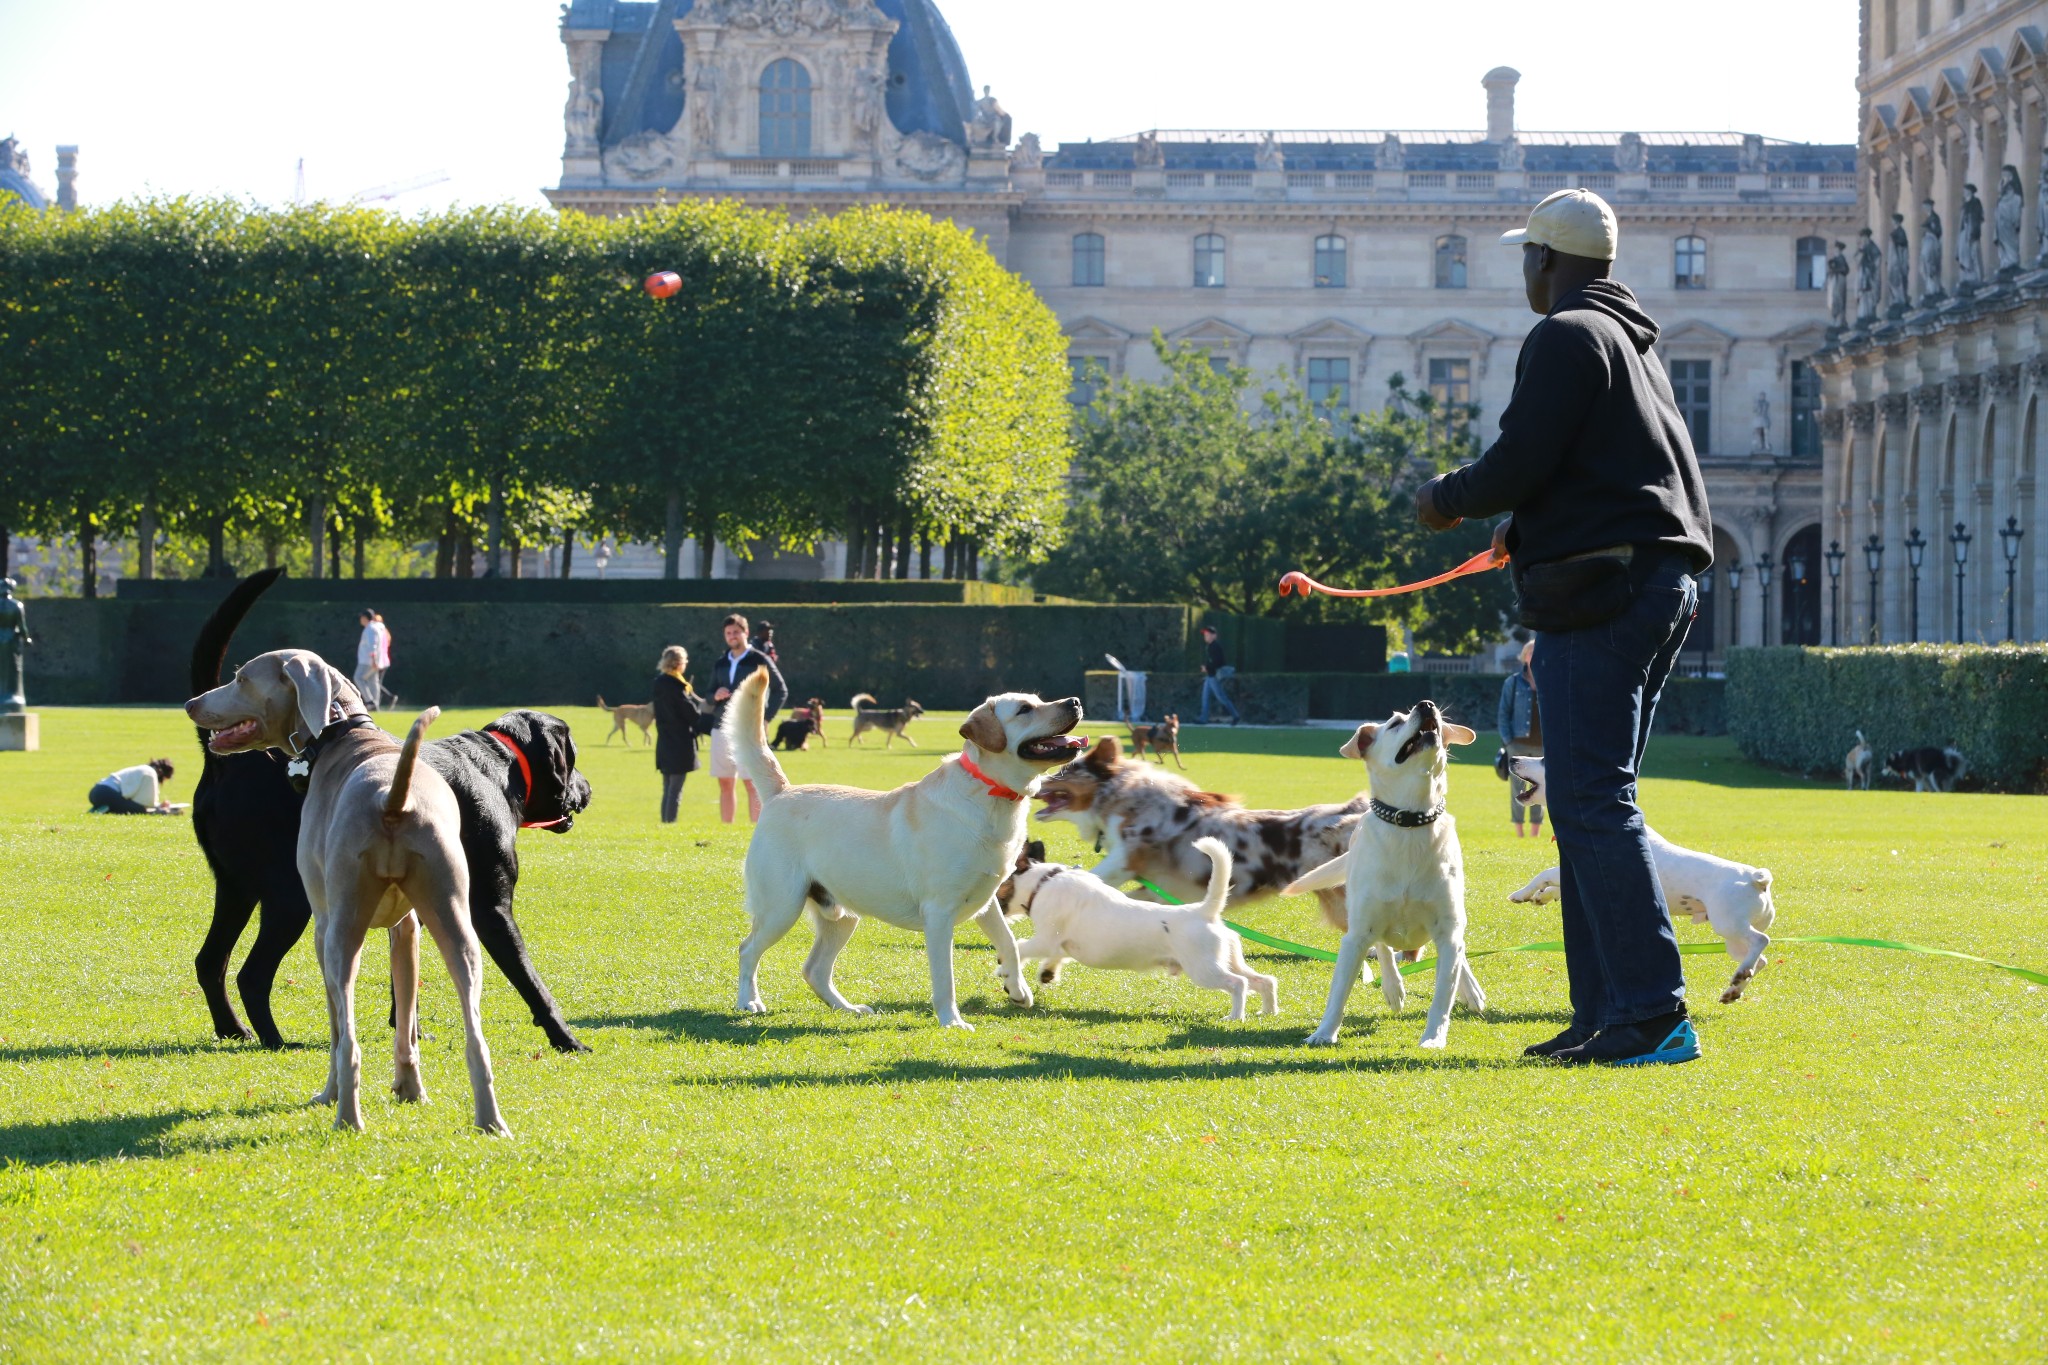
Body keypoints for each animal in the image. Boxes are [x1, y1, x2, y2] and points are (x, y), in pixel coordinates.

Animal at [185, 650, 507, 1129]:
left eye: (241, 679)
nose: (191, 704)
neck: (343, 732)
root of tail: (393, 801)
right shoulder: (406, 930)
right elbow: (405, 1019)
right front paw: (410, 1090)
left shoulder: (322, 925)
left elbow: (338, 1028)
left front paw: (331, 1092)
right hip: (456, 926)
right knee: (476, 1036)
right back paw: (490, 1122)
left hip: (339, 932)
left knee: (348, 1040)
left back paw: (346, 1116)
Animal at [193, 573, 593, 1055]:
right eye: (573, 756)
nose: (587, 789)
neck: (498, 765)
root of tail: (226, 762)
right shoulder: (490, 908)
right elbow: (531, 981)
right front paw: (564, 1036)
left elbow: (404, 976)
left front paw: (408, 1030)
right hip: (289, 897)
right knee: (251, 974)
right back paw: (274, 1039)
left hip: (237, 888)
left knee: (210, 961)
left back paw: (233, 1027)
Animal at [733, 667, 1097, 1031]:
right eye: (1024, 709)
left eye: (1038, 700)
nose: (1075, 701)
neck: (990, 794)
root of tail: (782, 791)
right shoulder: (939, 913)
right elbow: (945, 977)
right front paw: (952, 1022)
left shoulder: (986, 899)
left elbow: (1009, 942)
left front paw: (1017, 989)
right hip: (781, 907)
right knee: (747, 949)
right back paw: (749, 1001)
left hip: (841, 916)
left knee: (814, 970)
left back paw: (847, 1008)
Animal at [995, 834, 1269, 1015]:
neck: (1044, 881)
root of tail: (1204, 911)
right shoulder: (1059, 944)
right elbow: (1055, 956)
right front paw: (1047, 973)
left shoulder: (1046, 939)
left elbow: (1020, 947)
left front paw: (1003, 969)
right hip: (1228, 960)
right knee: (1263, 980)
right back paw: (1267, 1011)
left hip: (1204, 970)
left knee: (1238, 984)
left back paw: (1235, 1017)